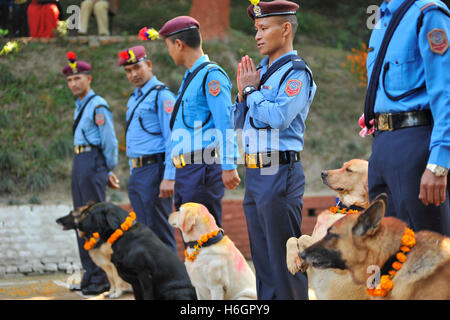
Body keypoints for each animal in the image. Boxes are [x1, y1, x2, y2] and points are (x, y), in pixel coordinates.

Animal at [286, 160, 370, 300]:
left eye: (349, 170)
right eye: (342, 165)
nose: (323, 173)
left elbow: (304, 238)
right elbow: (292, 238)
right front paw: (293, 260)